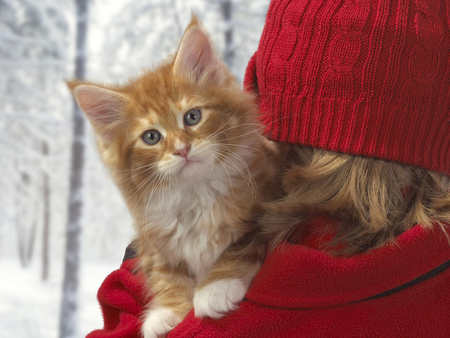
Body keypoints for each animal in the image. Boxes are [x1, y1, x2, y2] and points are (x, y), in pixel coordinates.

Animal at [68, 17, 280, 338]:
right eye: (151, 137)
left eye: (192, 117)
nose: (182, 149)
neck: (194, 194)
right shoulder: (154, 241)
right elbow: (166, 274)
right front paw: (167, 312)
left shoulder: (260, 210)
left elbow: (239, 246)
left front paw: (216, 287)